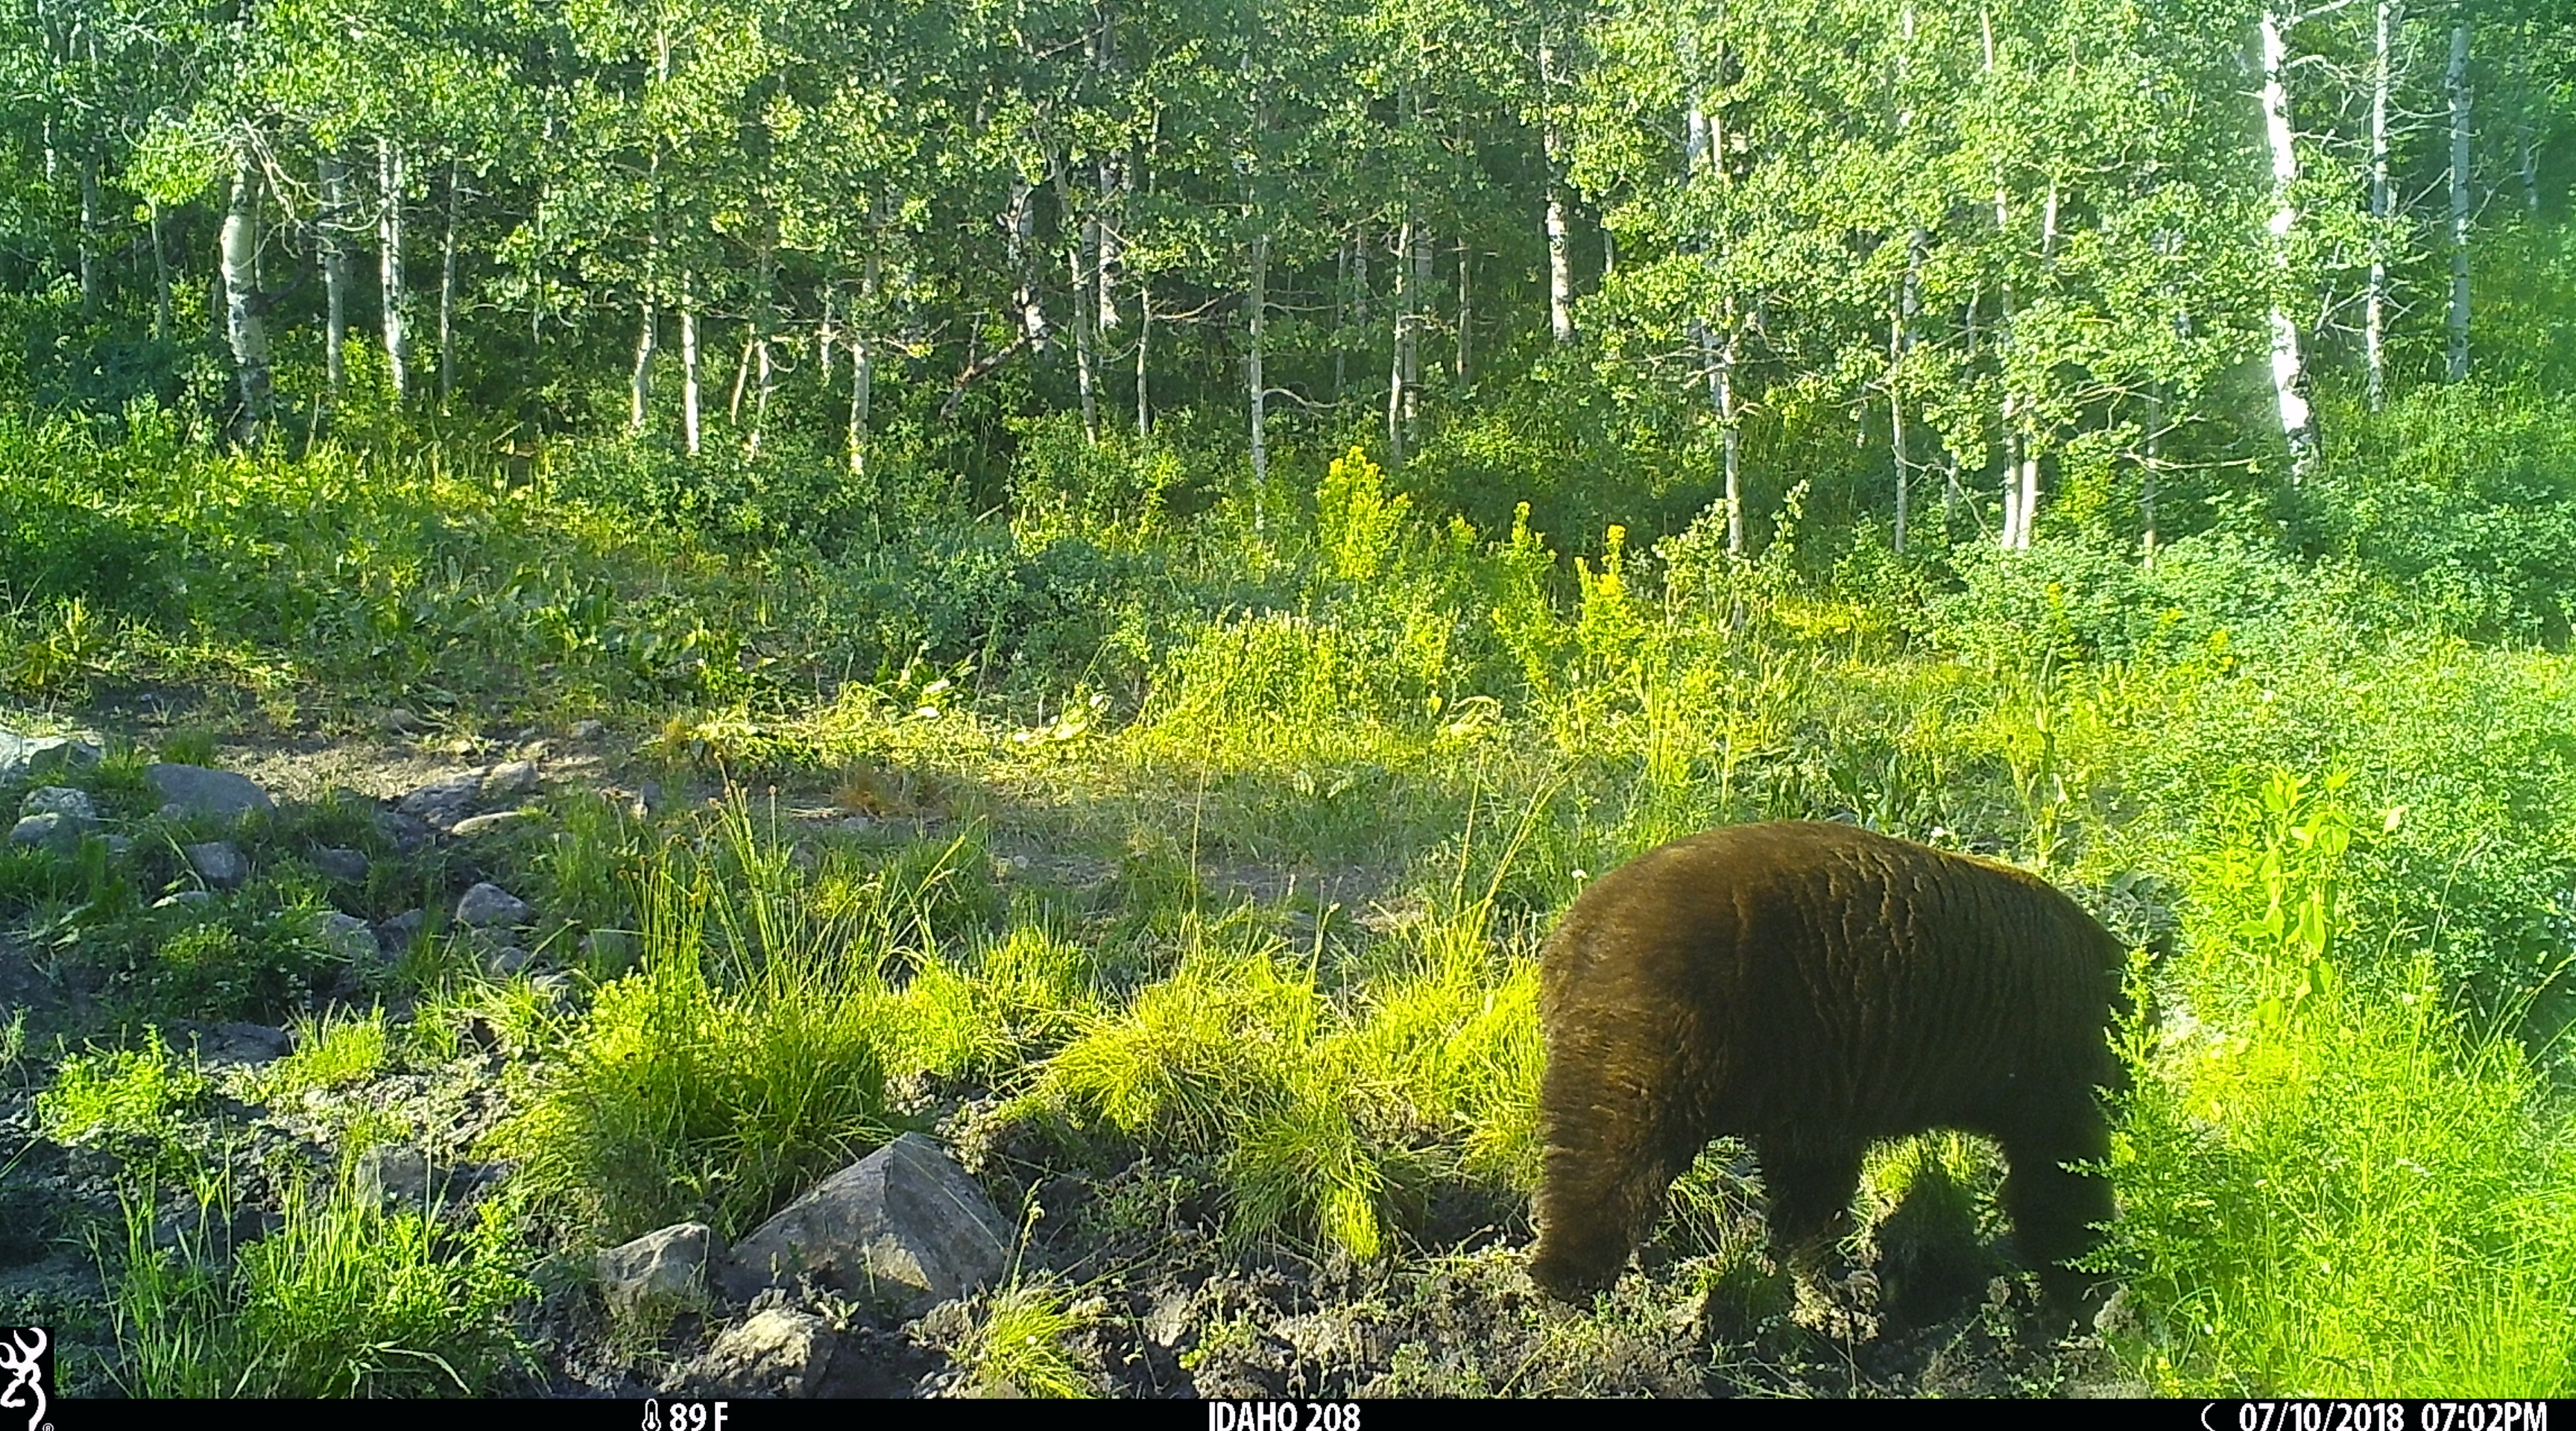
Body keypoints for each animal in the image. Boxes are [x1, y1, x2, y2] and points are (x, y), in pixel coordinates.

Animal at [1524, 818, 2133, 1318]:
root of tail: (1574, 932)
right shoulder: (2047, 1059)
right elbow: (2058, 1173)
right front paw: (2084, 1280)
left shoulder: (1819, 1080)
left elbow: (1810, 1179)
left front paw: (1813, 1268)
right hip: (1666, 1021)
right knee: (1614, 1146)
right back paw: (1566, 1274)